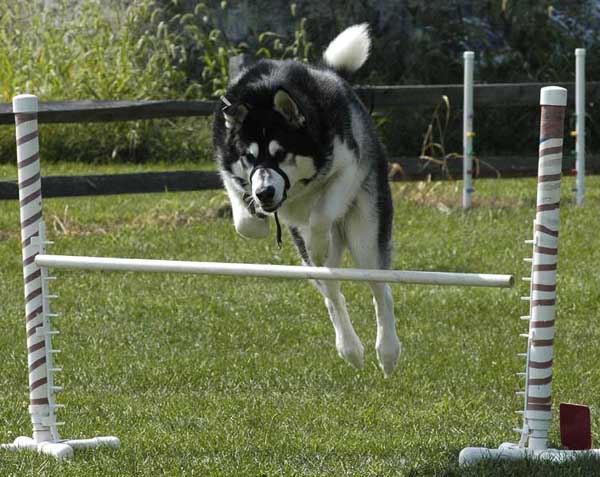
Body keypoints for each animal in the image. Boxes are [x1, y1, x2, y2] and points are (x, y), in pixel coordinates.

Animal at [213, 24, 400, 376]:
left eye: (281, 153)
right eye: (249, 157)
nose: (264, 193)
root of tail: (332, 74)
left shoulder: (348, 166)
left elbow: (321, 213)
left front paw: (318, 241)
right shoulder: (228, 168)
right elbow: (244, 222)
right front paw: (257, 220)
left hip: (366, 233)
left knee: (379, 289)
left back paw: (388, 351)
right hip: (313, 265)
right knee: (333, 293)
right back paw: (350, 348)